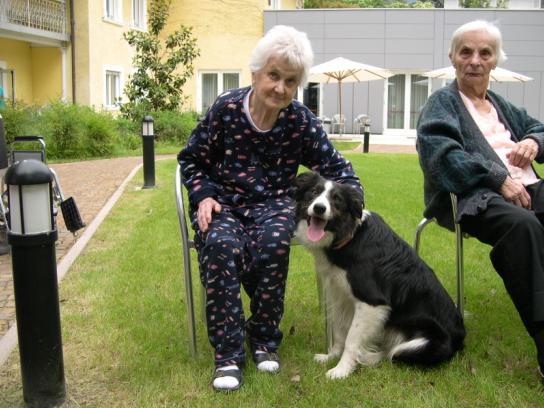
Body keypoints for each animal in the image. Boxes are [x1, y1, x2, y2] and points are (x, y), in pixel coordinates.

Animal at [292, 171, 465, 379]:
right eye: (314, 192)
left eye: (337, 199)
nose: (319, 208)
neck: (349, 236)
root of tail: (461, 336)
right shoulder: (340, 294)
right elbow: (340, 332)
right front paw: (331, 356)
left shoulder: (372, 302)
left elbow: (351, 339)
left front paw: (341, 370)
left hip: (420, 345)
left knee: (391, 354)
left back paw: (367, 357)